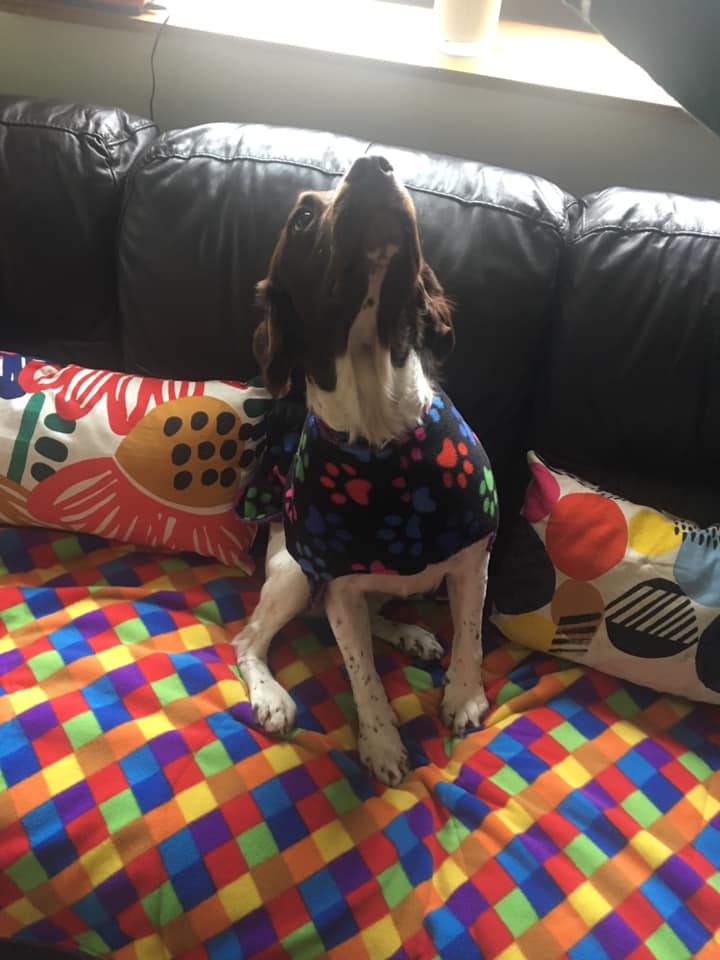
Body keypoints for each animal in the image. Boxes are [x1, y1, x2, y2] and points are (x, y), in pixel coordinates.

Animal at [233, 155, 498, 785]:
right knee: (248, 638)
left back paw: (411, 633)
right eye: (304, 217)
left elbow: (471, 634)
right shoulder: (339, 583)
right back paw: (270, 695)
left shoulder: (472, 558)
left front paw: (464, 696)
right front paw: (379, 741)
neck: (381, 434)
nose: (374, 165)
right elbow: (360, 670)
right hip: (295, 573)